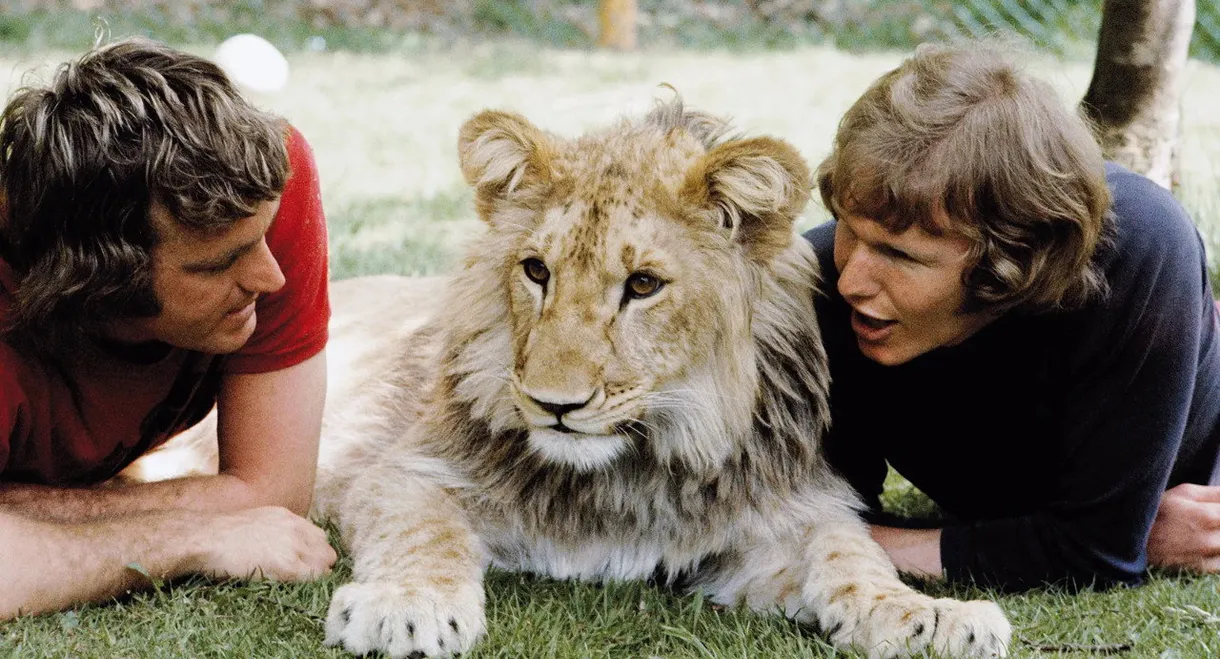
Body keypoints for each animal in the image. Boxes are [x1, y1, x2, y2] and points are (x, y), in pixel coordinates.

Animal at [305, 96, 1012, 659]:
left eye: (643, 285)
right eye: (536, 271)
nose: (552, 404)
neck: (632, 475)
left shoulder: (773, 518)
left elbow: (852, 552)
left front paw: (929, 615)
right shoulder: (402, 469)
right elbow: (424, 534)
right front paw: (404, 607)